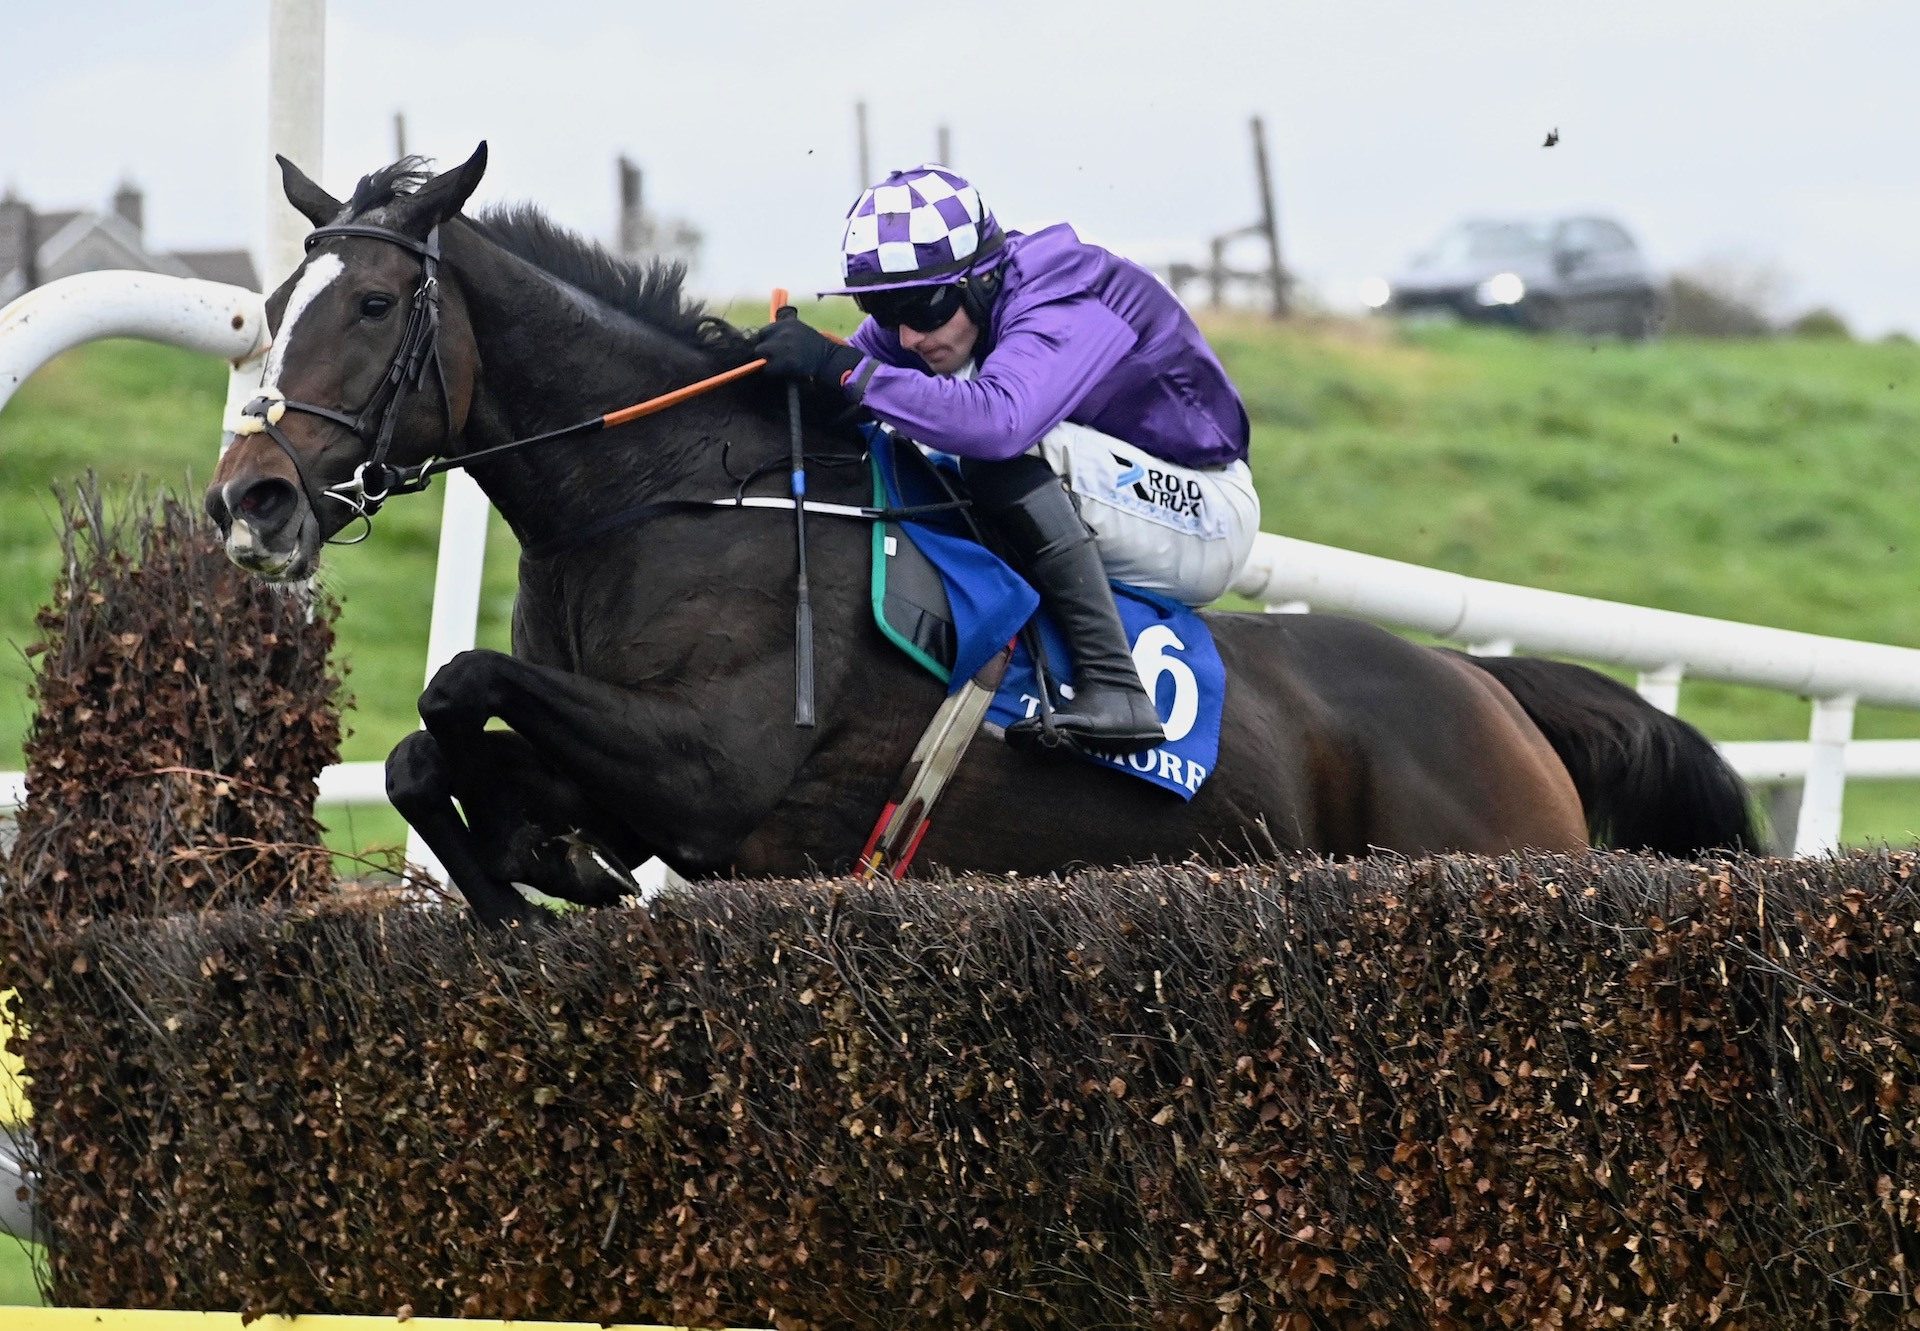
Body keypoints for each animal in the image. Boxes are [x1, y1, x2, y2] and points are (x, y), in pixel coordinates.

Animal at [206, 147, 1758, 925]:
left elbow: (457, 686)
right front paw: (531, 871)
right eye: (271, 302)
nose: (249, 500)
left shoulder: (714, 768)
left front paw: (521, 884)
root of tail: (1495, 691)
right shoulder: (649, 782)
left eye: (367, 306)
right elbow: (432, 749)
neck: (674, 495)